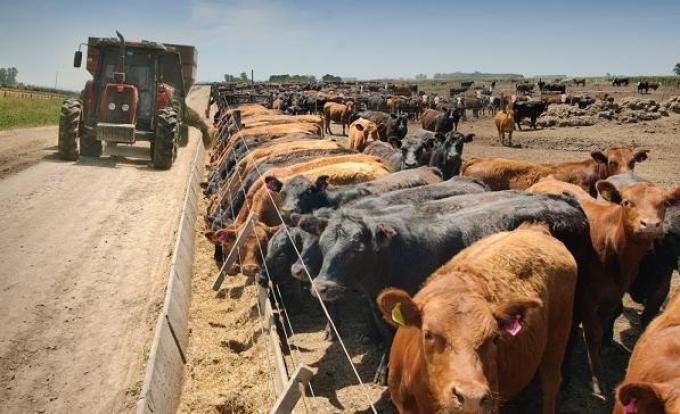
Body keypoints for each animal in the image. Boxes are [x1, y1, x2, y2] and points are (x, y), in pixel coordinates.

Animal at [374, 223, 576, 414]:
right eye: (428, 334)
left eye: (495, 338)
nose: (470, 398)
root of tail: (535, 229)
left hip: (558, 335)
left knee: (551, 382)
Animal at [528, 176, 680, 400]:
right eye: (627, 202)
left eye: (663, 204)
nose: (650, 225)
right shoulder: (588, 297)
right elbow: (593, 335)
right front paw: (598, 379)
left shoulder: (613, 296)